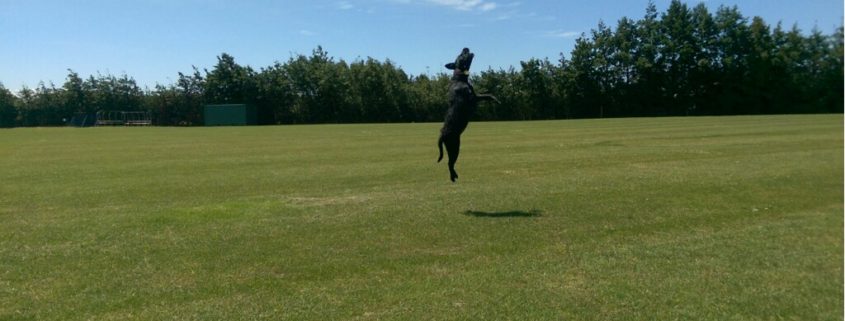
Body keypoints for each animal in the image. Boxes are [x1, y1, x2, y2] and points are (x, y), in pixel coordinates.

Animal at [438, 48, 498, 181]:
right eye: (461, 55)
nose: (465, 48)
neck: (460, 78)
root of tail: (441, 135)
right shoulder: (471, 99)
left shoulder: (476, 96)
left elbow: (487, 95)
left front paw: (495, 99)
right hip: (454, 147)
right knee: (450, 163)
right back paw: (453, 177)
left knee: (450, 163)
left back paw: (454, 175)